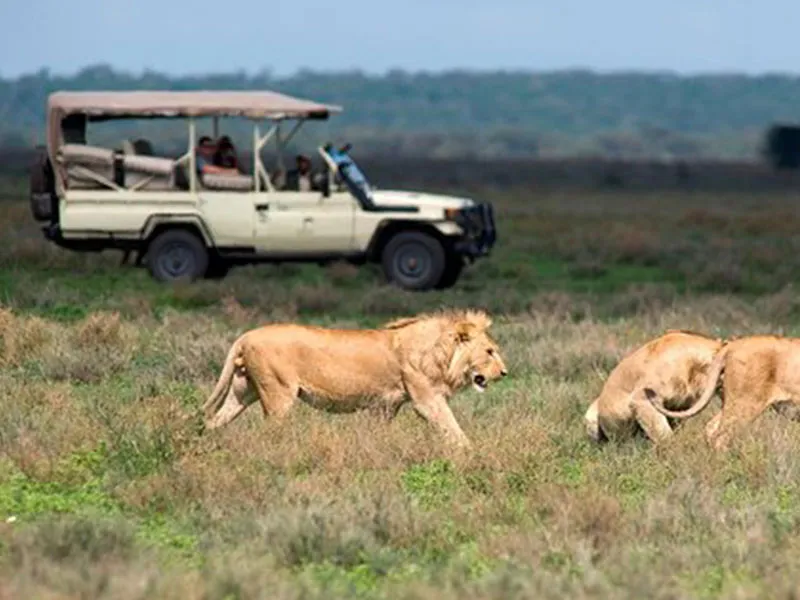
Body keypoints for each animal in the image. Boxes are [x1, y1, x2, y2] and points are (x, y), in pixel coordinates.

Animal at [200, 310, 506, 446]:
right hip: (278, 395)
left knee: (214, 419)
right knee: (270, 430)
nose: (505, 373)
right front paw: (471, 453)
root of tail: (245, 335)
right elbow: (452, 427)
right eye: (490, 351)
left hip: (243, 391)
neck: (439, 352)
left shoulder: (386, 405)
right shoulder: (427, 399)